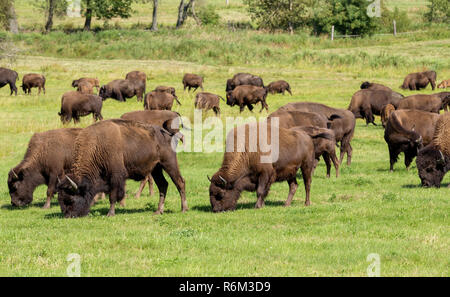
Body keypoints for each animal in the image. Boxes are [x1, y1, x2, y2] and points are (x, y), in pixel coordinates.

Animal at [55, 118, 186, 217]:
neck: (97, 145)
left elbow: (113, 196)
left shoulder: (115, 176)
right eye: (60, 199)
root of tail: (168, 134)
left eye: (70, 199)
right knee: (163, 185)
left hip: (169, 163)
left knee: (180, 182)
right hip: (156, 169)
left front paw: (110, 213)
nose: (67, 215)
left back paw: (184, 209)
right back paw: (158, 211)